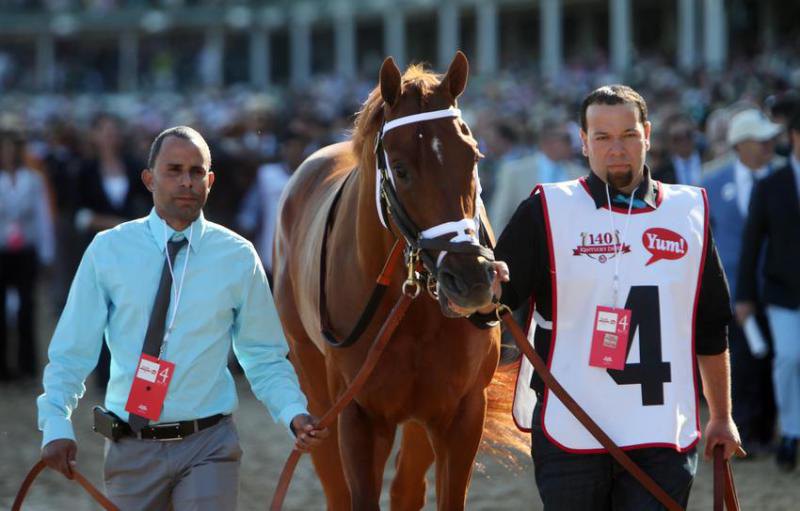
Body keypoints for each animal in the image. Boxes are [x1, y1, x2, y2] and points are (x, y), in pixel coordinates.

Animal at [276, 53, 524, 511]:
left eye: (474, 158)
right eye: (403, 170)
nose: (471, 280)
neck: (414, 311)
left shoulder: (461, 412)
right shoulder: (357, 415)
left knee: (407, 489)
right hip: (314, 390)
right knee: (333, 482)